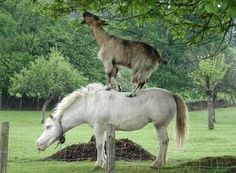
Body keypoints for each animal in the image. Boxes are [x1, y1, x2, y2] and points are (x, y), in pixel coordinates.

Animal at [37, 83, 188, 170]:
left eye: (48, 127)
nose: (38, 144)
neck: (91, 104)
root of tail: (171, 94)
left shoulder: (98, 127)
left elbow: (98, 145)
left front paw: (98, 164)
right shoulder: (104, 128)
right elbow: (102, 144)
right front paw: (104, 162)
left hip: (159, 125)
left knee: (163, 142)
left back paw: (156, 163)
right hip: (161, 126)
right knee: (165, 142)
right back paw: (162, 163)